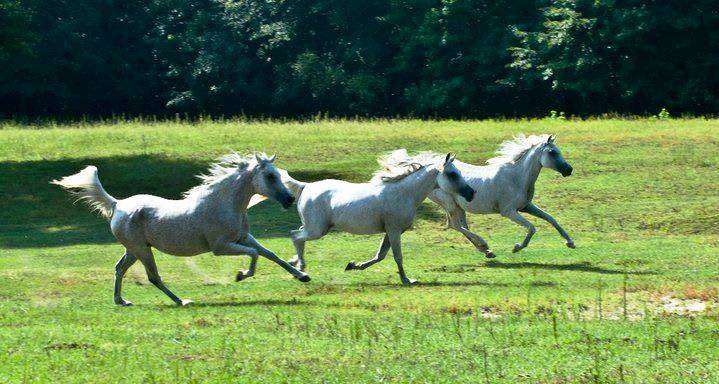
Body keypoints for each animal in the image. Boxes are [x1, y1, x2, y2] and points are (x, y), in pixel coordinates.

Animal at [50, 153, 310, 306]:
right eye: (270, 176)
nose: (289, 200)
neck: (223, 203)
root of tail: (117, 204)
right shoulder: (221, 247)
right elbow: (255, 256)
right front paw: (241, 275)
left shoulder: (244, 237)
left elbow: (270, 254)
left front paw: (302, 276)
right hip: (142, 250)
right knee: (153, 277)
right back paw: (181, 301)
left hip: (134, 250)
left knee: (119, 269)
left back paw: (121, 301)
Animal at [278, 151, 478, 284]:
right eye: (452, 174)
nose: (471, 193)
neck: (404, 193)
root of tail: (305, 186)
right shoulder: (394, 230)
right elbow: (397, 256)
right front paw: (407, 280)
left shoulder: (390, 231)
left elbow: (380, 256)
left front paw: (353, 265)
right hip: (317, 230)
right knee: (295, 235)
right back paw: (300, 268)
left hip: (315, 227)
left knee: (298, 234)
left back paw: (295, 264)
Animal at [430, 134, 576, 256]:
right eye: (552, 152)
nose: (569, 170)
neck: (516, 178)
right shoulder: (508, 211)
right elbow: (531, 228)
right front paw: (517, 247)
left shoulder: (526, 206)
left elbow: (551, 219)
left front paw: (570, 243)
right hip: (450, 204)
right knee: (455, 225)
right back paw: (484, 246)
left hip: (458, 207)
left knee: (460, 226)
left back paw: (486, 251)